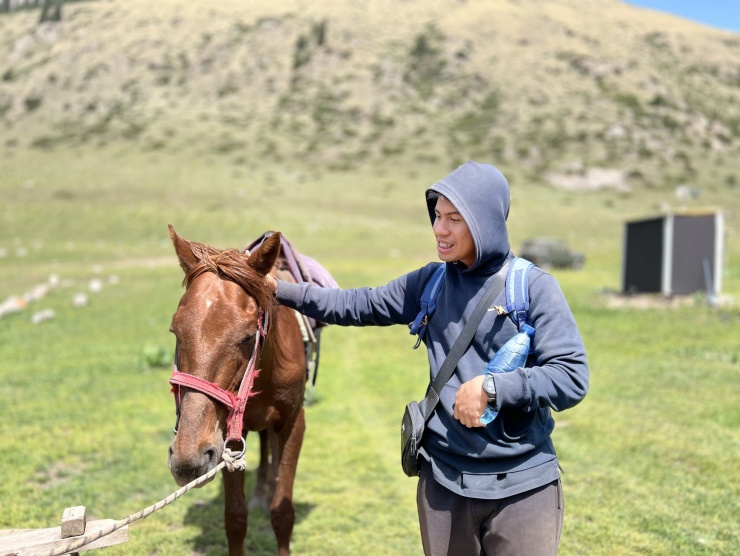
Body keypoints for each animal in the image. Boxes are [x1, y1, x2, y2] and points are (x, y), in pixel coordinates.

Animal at [168, 226, 306, 556]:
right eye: (175, 331)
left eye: (248, 337)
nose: (188, 460)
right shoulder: (229, 438)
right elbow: (235, 518)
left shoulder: (295, 422)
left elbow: (283, 513)